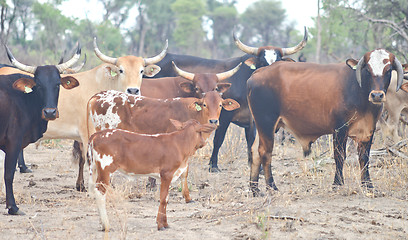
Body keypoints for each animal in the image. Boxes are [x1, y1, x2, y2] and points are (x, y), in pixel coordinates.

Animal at [0, 44, 81, 214]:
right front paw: (13, 207)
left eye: (57, 84)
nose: (50, 112)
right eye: (39, 85)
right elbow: (9, 174)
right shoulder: (13, 142)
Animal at [88, 118, 218, 231]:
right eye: (200, 132)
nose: (203, 143)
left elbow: (166, 198)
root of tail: (97, 134)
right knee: (100, 192)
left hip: (96, 169)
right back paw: (106, 225)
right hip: (105, 169)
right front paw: (161, 225)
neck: (179, 144)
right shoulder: (167, 174)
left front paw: (164, 223)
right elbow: (163, 199)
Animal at [143, 27, 306, 172]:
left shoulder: (252, 119)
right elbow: (219, 139)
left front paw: (255, 166)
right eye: (262, 62)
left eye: (278, 62)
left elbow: (251, 140)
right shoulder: (224, 115)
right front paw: (213, 165)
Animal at [245, 48, 404, 195]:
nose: (377, 95)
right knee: (265, 152)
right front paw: (338, 184)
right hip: (266, 123)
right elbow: (340, 156)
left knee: (254, 151)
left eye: (388, 70)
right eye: (367, 69)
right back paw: (272, 187)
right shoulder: (339, 129)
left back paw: (255, 189)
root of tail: (258, 72)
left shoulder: (368, 130)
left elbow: (364, 157)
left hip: (264, 126)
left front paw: (368, 185)